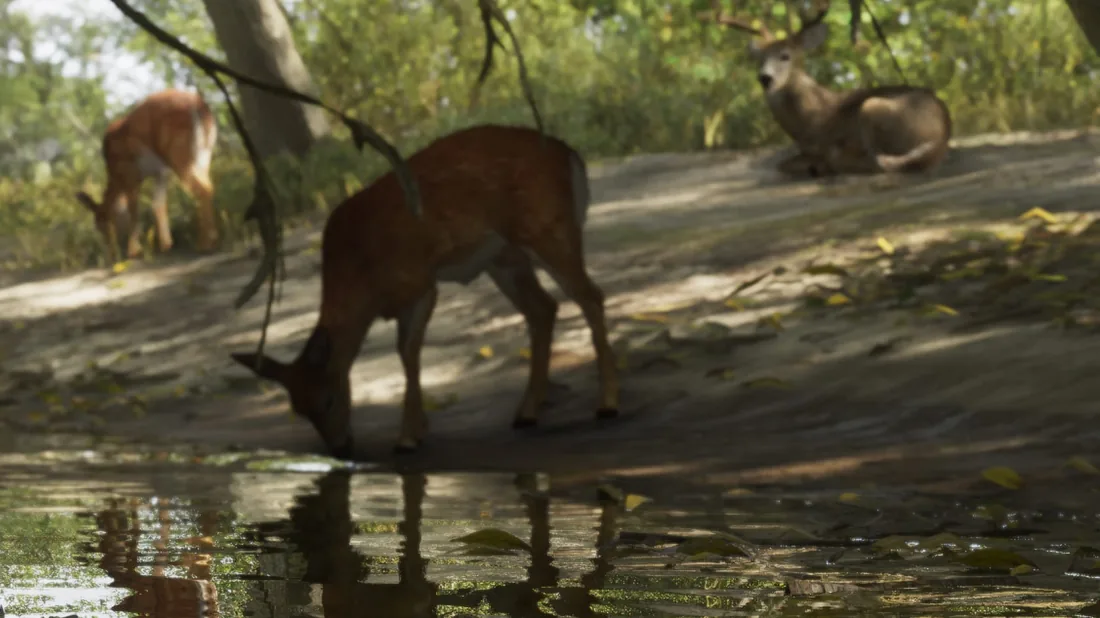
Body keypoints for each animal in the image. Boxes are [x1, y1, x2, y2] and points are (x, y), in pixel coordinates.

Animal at [76, 88, 219, 263]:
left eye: (100, 223)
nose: (111, 255)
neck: (114, 173)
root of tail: (199, 106)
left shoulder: (131, 175)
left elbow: (134, 211)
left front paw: (134, 252)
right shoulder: (161, 173)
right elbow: (157, 205)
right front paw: (166, 246)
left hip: (180, 157)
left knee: (202, 189)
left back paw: (204, 245)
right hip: (203, 155)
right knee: (208, 186)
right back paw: (211, 240)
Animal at [229, 124, 620, 459]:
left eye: (328, 399)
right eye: (298, 408)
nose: (341, 449)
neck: (361, 275)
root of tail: (571, 155)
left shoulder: (420, 282)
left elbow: (408, 352)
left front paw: (406, 438)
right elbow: (408, 354)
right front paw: (418, 429)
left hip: (548, 227)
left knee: (590, 296)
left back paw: (606, 405)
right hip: (505, 257)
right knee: (543, 308)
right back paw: (526, 413)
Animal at [703, 1, 952, 178]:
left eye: (785, 56)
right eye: (760, 59)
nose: (765, 78)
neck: (809, 122)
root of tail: (941, 135)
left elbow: (786, 164)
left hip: (873, 106)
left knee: (879, 163)